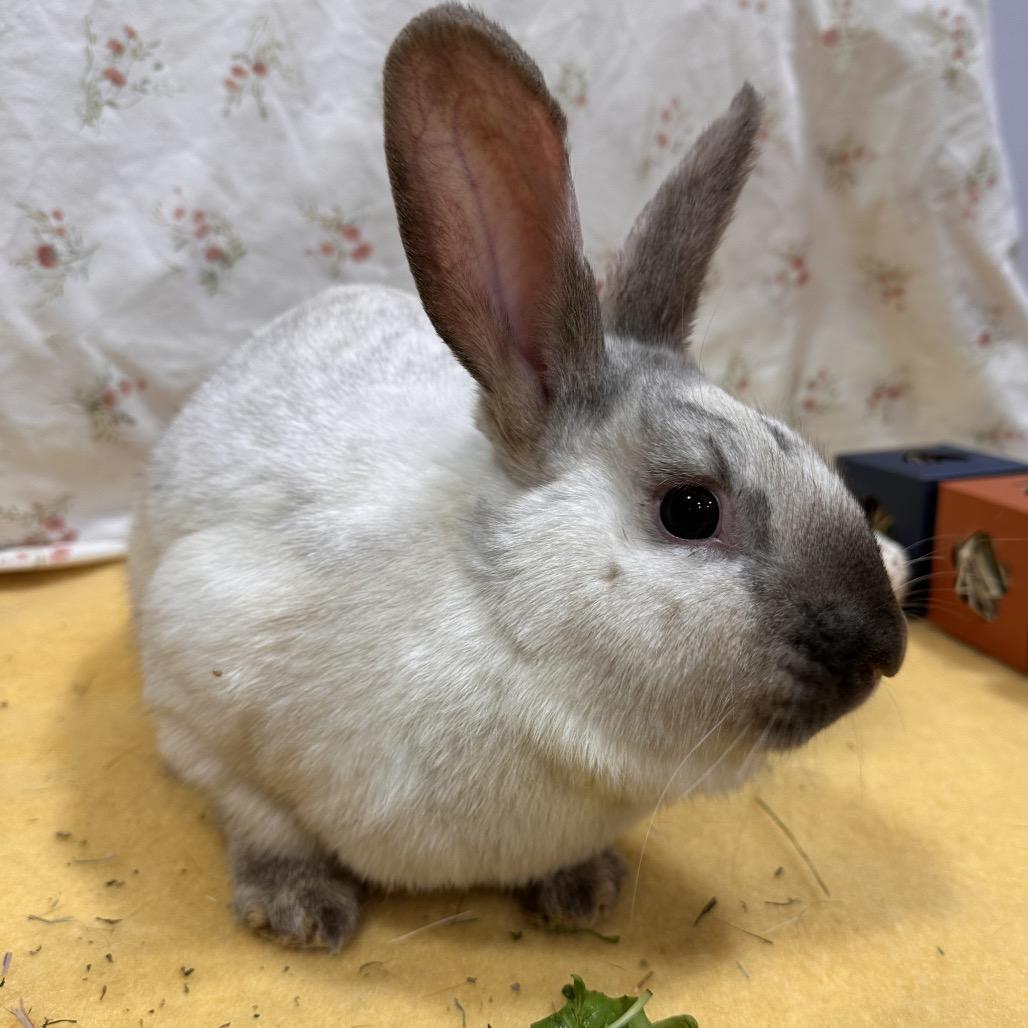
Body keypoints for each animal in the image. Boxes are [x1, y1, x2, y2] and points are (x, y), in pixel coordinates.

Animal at [128, 3, 907, 951]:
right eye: (691, 508)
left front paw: (585, 889)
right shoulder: (196, 669)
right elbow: (255, 812)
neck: (505, 630)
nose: (887, 651)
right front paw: (300, 909)